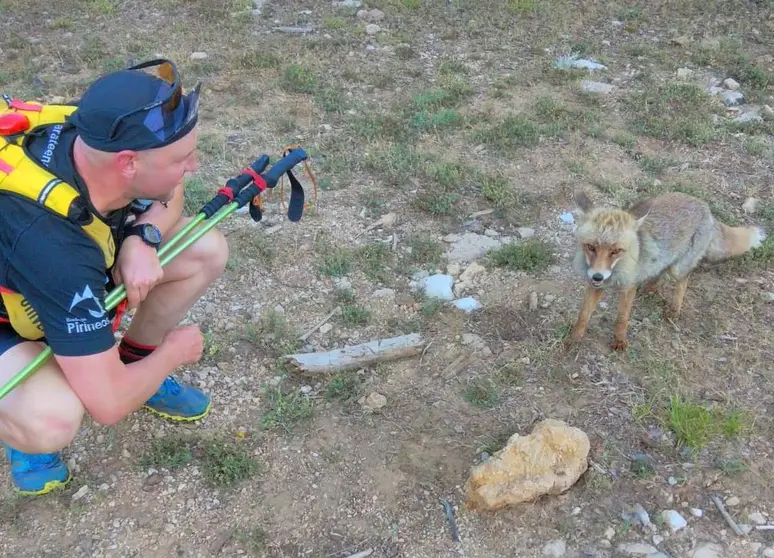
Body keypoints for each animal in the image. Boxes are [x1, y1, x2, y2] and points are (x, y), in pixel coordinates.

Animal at [563, 190, 766, 352]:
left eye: (616, 251)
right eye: (591, 247)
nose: (598, 275)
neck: (617, 271)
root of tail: (706, 208)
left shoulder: (628, 288)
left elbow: (622, 318)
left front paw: (620, 341)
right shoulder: (595, 287)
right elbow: (583, 316)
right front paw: (573, 339)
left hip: (678, 269)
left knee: (683, 280)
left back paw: (674, 309)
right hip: (664, 258)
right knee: (660, 270)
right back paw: (650, 287)